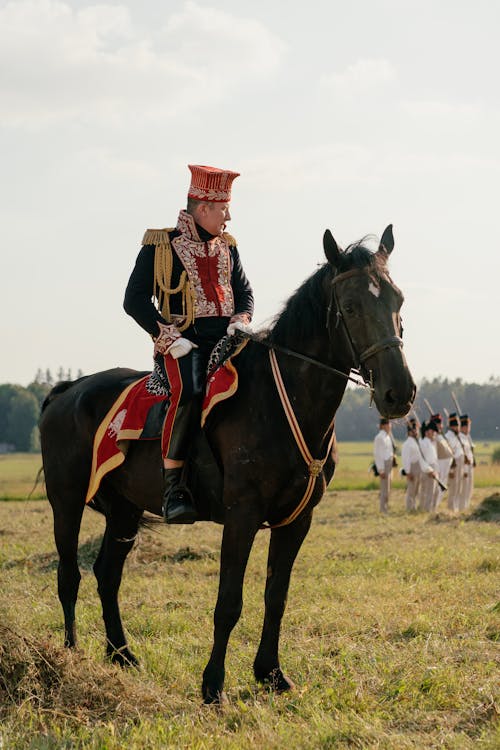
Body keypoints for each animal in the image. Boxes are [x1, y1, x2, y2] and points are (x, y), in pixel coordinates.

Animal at [39, 228, 416, 704]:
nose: (398, 393)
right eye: (349, 307)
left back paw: (121, 654)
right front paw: (213, 684)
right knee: (69, 575)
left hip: (124, 509)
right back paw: (70, 657)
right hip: (66, 502)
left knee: (107, 574)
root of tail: (68, 390)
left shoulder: (298, 520)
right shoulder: (242, 515)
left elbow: (276, 596)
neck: (280, 399)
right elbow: (229, 601)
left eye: (398, 299)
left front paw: (271, 673)